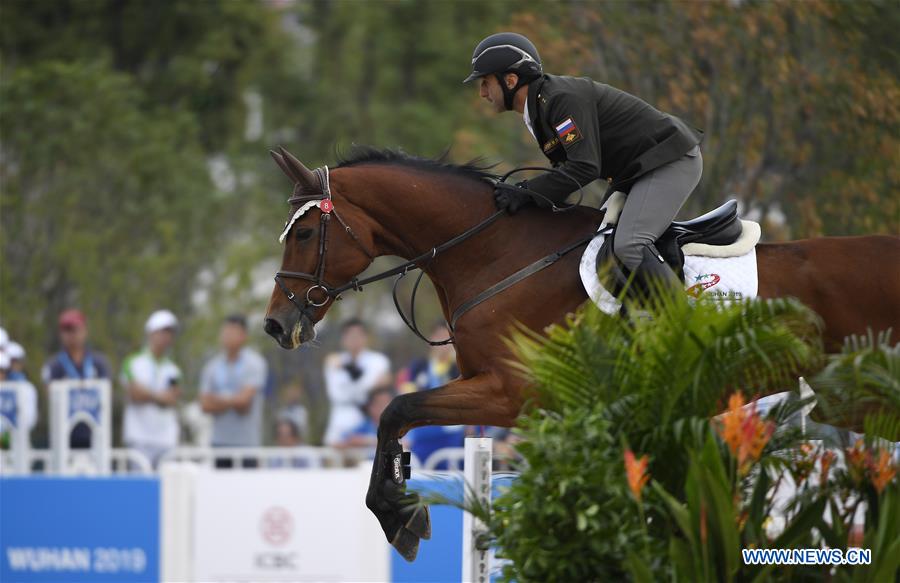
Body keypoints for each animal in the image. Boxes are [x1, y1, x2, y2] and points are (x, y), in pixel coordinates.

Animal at [264, 146, 896, 560]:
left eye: (304, 234)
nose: (275, 324)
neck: (497, 253)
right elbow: (399, 417)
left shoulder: (510, 394)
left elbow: (396, 409)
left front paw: (399, 514)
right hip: (848, 400)